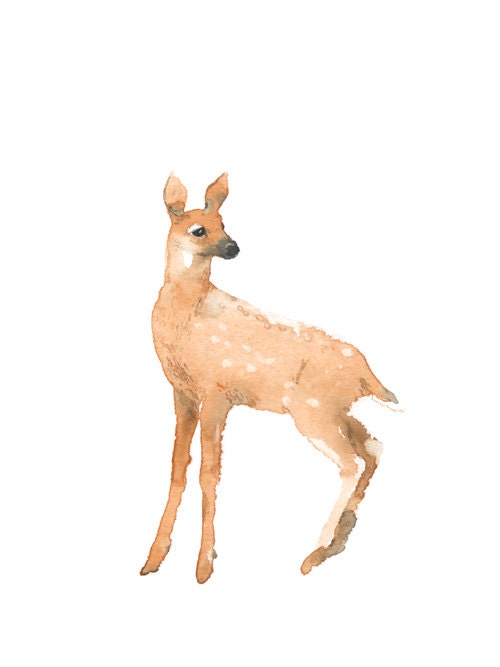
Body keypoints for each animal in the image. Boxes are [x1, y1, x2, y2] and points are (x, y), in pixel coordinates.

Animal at [140, 173, 397, 584]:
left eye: (223, 222)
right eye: (199, 229)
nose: (233, 247)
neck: (188, 313)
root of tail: (367, 373)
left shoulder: (217, 390)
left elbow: (209, 473)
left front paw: (204, 564)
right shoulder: (182, 390)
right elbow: (178, 467)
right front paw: (153, 558)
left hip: (313, 411)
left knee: (351, 462)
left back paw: (313, 551)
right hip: (333, 409)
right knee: (373, 446)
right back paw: (337, 541)